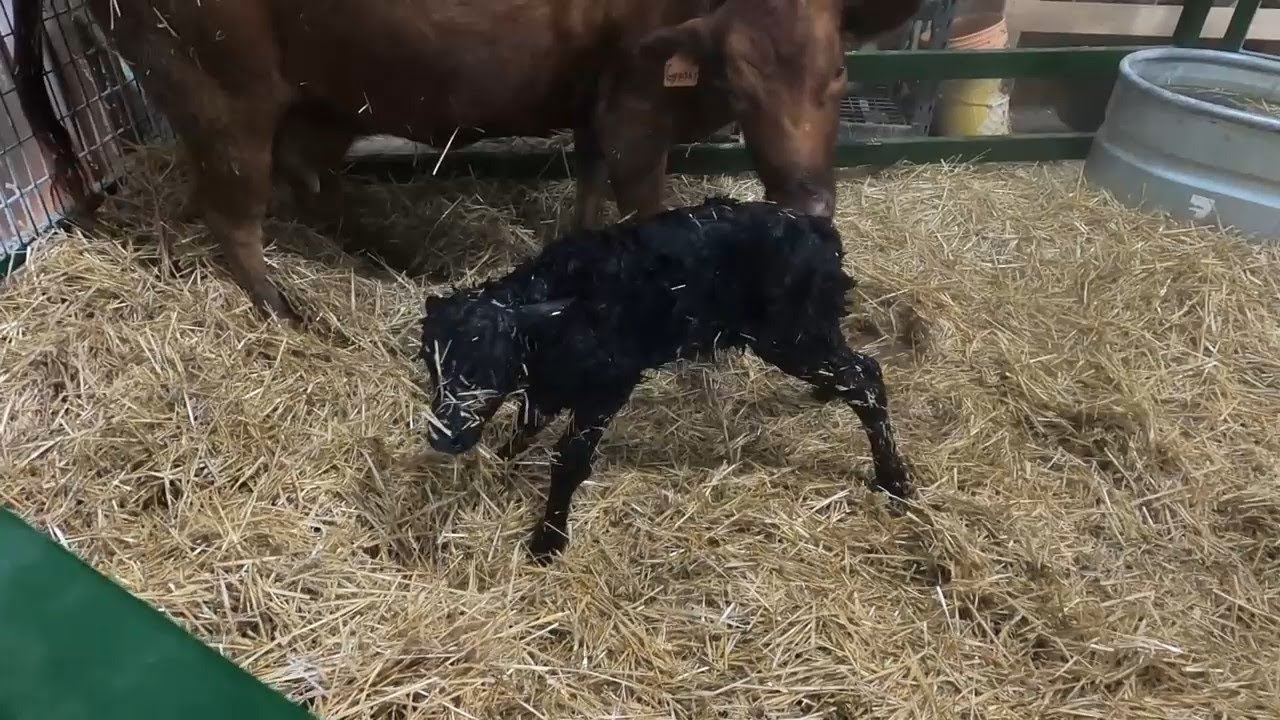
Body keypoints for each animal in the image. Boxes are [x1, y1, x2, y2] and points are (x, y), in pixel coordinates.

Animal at [14, 0, 922, 322]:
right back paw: (294, 312)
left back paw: (394, 257)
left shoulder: (595, 101)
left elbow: (588, 182)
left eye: (840, 74)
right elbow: (641, 195)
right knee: (233, 211)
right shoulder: (633, 98)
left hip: (319, 101)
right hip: (215, 83)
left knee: (309, 186)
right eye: (736, 77)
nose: (808, 204)